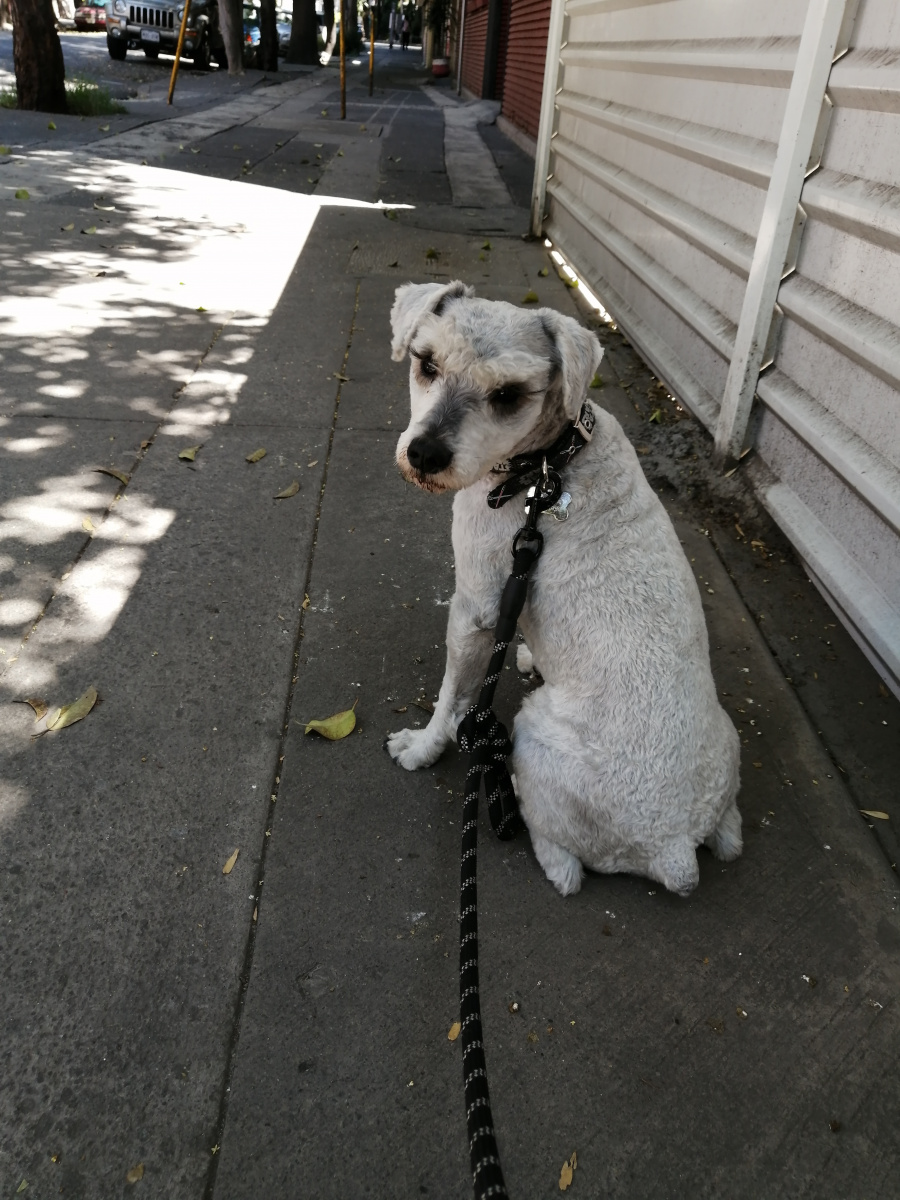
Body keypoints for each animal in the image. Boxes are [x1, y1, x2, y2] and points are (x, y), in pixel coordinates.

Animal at [386, 280, 741, 897]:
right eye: (425, 362)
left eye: (508, 394)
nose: (425, 454)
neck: (544, 469)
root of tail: (674, 847)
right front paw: (528, 652)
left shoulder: (473, 608)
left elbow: (453, 692)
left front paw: (424, 746)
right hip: (728, 748)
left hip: (534, 733)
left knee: (564, 864)